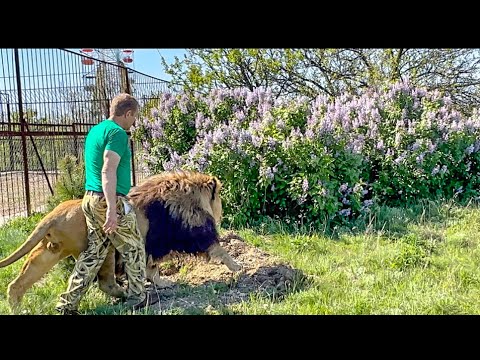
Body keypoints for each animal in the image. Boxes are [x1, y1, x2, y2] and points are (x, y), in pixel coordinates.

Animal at [0, 170, 240, 310]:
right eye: (219, 196)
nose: (223, 208)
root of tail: (54, 215)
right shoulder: (193, 232)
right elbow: (219, 249)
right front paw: (237, 267)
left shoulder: (152, 245)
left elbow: (152, 269)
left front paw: (163, 283)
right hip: (104, 248)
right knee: (105, 283)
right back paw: (129, 295)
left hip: (51, 250)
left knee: (20, 281)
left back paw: (16, 305)